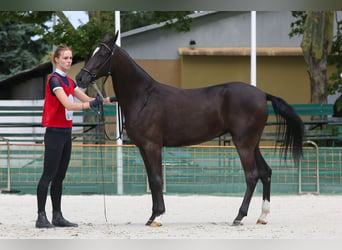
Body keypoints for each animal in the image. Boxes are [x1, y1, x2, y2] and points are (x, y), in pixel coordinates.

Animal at [76, 33, 304, 227]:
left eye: (103, 53)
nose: (80, 78)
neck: (144, 97)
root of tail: (262, 94)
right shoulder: (143, 147)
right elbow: (152, 179)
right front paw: (152, 216)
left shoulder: (152, 146)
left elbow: (157, 179)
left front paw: (158, 216)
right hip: (252, 143)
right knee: (266, 172)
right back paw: (262, 216)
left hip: (244, 144)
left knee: (252, 175)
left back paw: (239, 217)